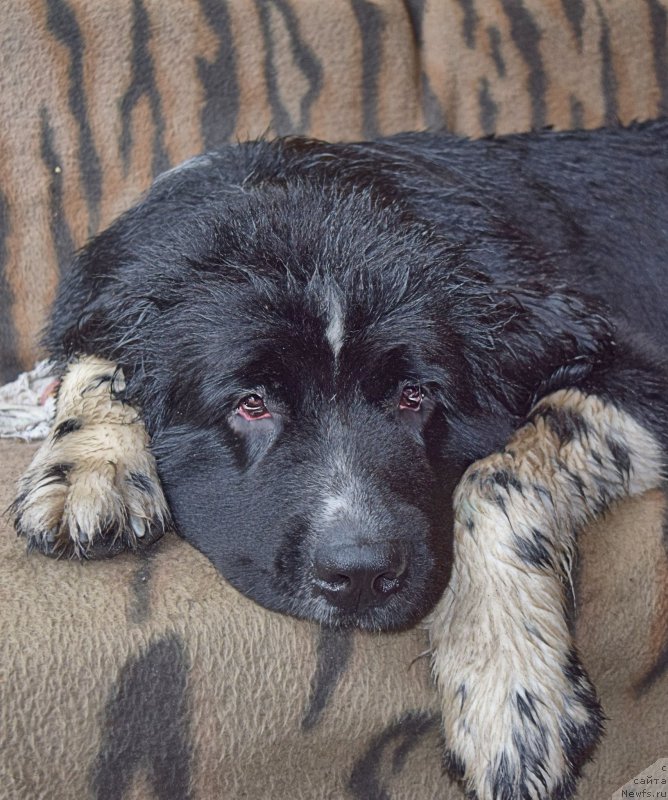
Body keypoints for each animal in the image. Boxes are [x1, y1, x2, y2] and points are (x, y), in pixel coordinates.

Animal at [13, 120, 668, 800]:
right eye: (251, 403)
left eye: (414, 395)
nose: (359, 572)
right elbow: (99, 355)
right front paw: (91, 467)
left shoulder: (626, 364)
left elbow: (495, 476)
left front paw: (510, 693)